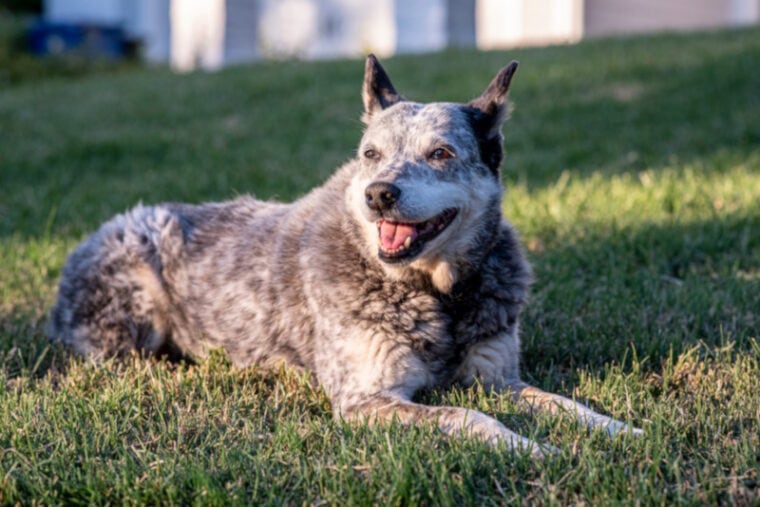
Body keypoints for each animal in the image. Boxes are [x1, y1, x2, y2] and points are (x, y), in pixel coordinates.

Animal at [49, 54, 640, 456]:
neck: (436, 295)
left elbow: (565, 404)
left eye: (441, 153)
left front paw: (623, 430)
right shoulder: (365, 399)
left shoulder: (498, 379)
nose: (378, 193)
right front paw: (532, 447)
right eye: (370, 154)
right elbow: (470, 417)